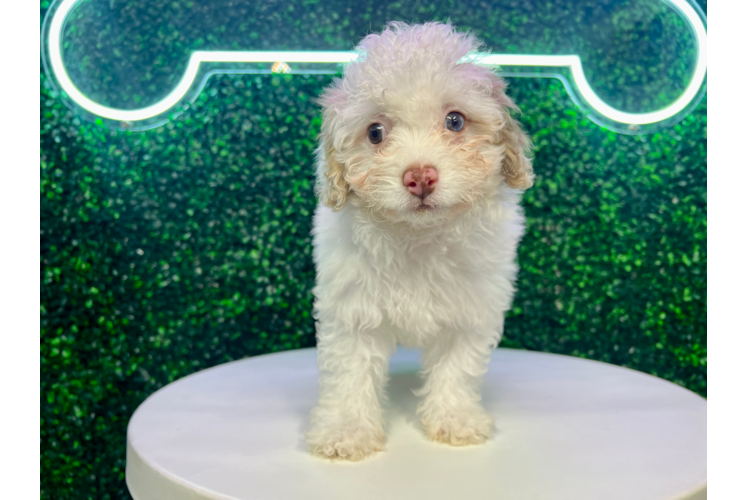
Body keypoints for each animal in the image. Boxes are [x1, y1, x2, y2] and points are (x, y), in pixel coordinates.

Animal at [304, 22, 532, 460]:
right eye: (375, 132)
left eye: (455, 121)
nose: (420, 177)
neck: (419, 236)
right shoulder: (351, 310)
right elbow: (349, 372)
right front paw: (346, 431)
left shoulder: (472, 309)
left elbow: (458, 368)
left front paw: (455, 420)